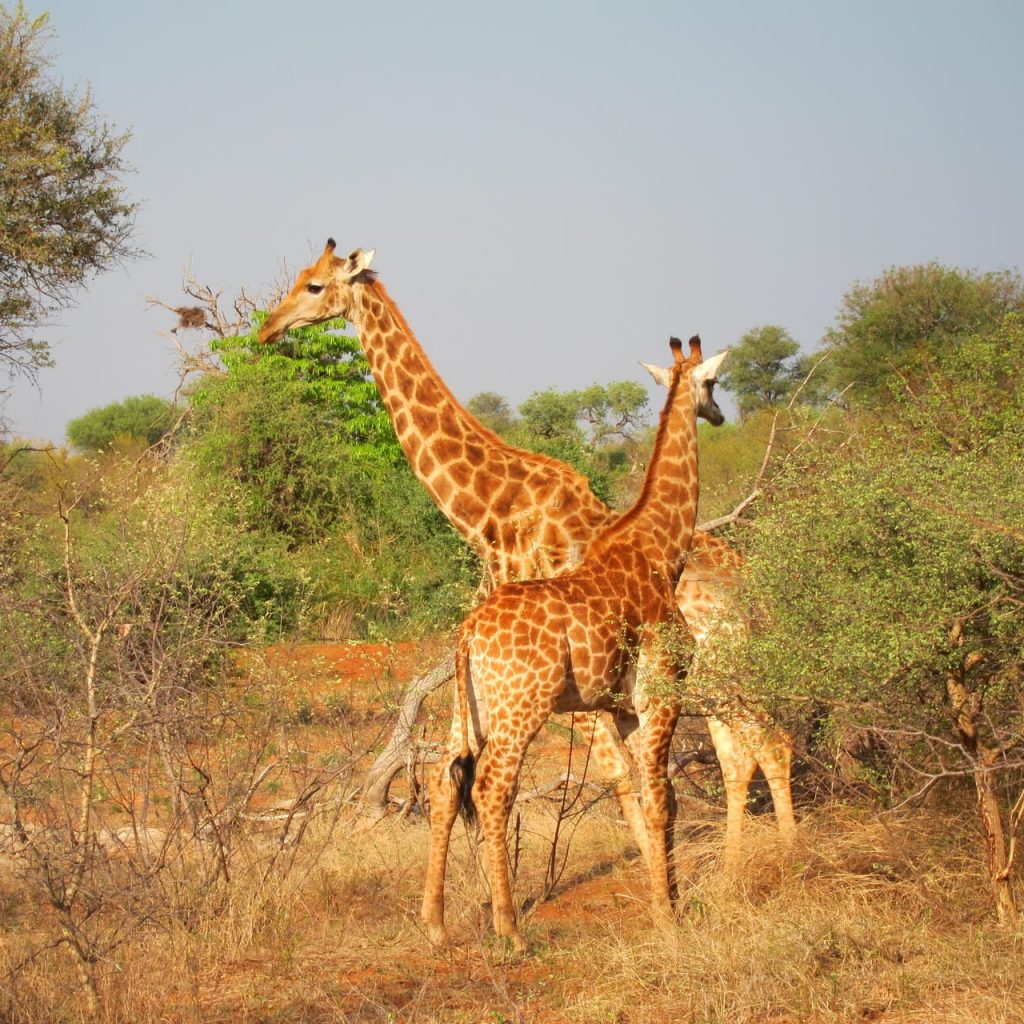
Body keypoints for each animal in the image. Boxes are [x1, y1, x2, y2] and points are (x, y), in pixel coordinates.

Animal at [260, 239, 794, 864]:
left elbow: (616, 775)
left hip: (712, 668)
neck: (489, 511)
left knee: (766, 741)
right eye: (301, 276)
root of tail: (748, 578)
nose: (268, 328)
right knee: (741, 751)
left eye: (315, 285)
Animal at [419, 335, 724, 950]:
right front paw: (667, 915)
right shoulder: (662, 694)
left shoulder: (625, 708)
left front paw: (673, 898)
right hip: (522, 707)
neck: (661, 550)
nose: (722, 415)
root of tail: (467, 634)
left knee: (444, 781)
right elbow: (659, 800)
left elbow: (656, 797)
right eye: (714, 384)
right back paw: (510, 931)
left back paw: (435, 924)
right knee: (492, 789)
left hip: (469, 710)